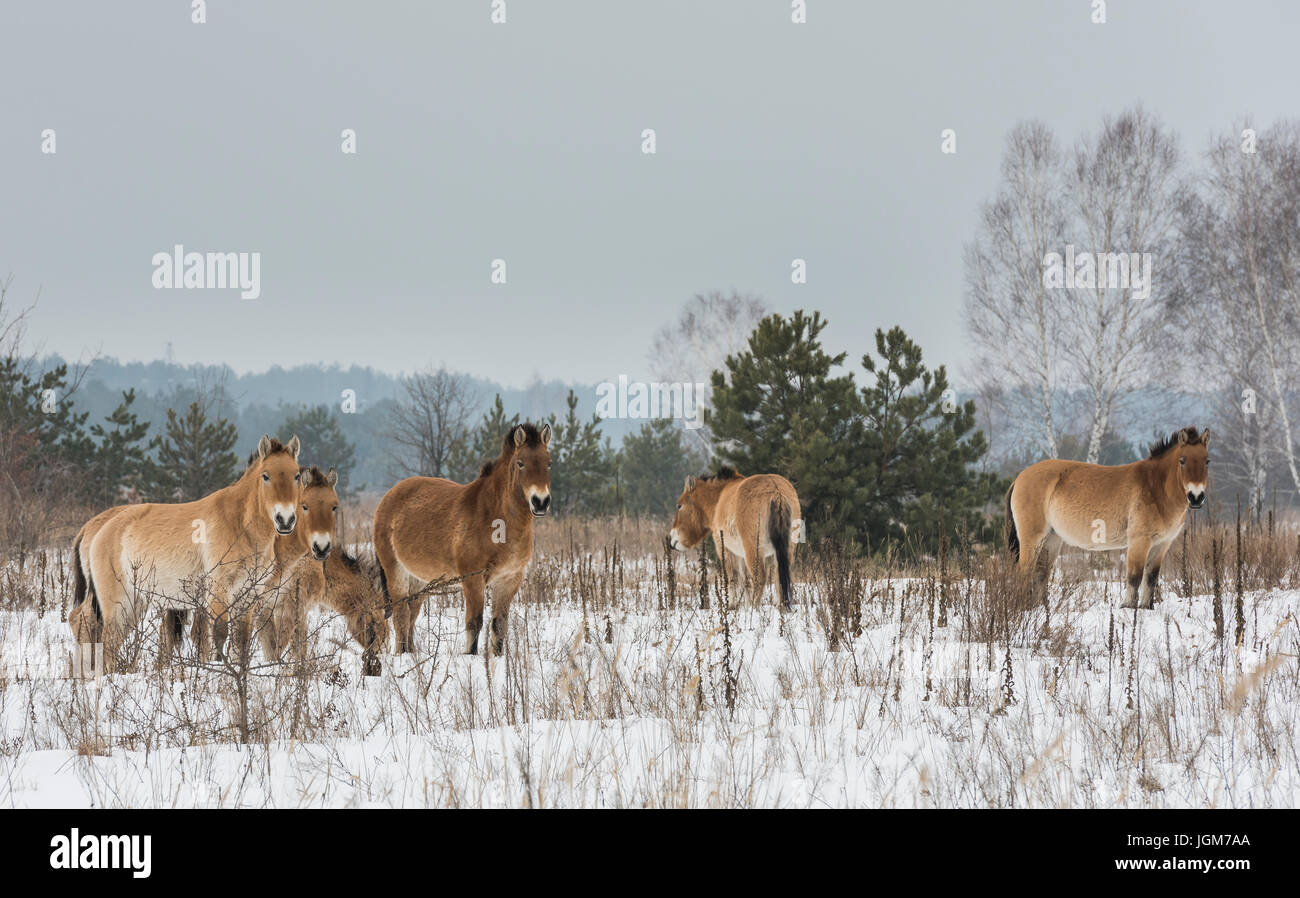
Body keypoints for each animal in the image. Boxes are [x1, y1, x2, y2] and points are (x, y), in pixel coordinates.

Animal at [81, 435, 301, 669]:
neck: (239, 524)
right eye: (265, 476)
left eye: (296, 475)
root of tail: (100, 529)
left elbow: (240, 642)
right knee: (107, 644)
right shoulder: (219, 591)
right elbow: (219, 636)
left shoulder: (248, 595)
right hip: (117, 606)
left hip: (135, 604)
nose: (285, 520)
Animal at [373, 422, 552, 655]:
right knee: (401, 615)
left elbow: (499, 625)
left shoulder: (509, 579)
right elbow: (474, 623)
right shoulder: (473, 578)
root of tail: (389, 496)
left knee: (411, 615)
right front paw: (471, 655)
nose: (541, 502)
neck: (496, 519)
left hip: (420, 580)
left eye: (549, 463)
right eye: (520, 463)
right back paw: (402, 655)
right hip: (396, 571)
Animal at [668, 466, 802, 609]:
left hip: (753, 552)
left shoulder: (726, 550)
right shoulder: (741, 555)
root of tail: (777, 492)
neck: (719, 499)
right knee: (778, 579)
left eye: (679, 506)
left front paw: (731, 605)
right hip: (785, 552)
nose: (671, 539)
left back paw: (754, 608)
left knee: (760, 578)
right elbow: (746, 581)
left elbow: (732, 578)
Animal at [1006, 426, 1210, 609]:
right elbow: (1134, 577)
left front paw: (1146, 608)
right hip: (1032, 539)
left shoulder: (1162, 544)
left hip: (1052, 540)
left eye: (1206, 461)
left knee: (1041, 573)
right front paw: (1128, 607)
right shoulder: (1139, 541)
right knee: (1025, 571)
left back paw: (1040, 609)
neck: (1155, 487)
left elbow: (1151, 578)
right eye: (1182, 461)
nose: (1196, 497)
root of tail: (1020, 477)